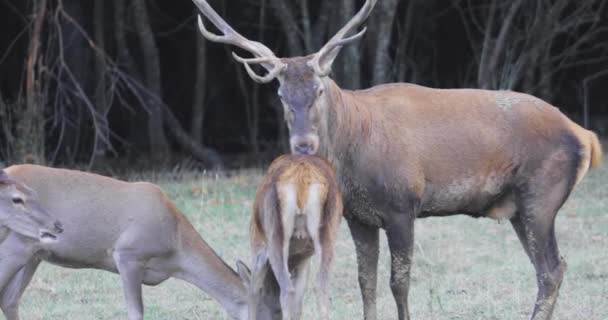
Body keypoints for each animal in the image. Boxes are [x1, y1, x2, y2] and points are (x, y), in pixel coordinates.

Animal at [0, 165, 276, 320]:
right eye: (272, 313)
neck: (176, 247)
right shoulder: (128, 254)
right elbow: (136, 312)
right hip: (16, 243)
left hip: (34, 253)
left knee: (10, 300)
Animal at [236, 155, 342, 320]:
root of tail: (302, 178)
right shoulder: (304, 258)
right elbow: (298, 306)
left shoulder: (257, 246)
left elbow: (253, 290)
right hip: (329, 230)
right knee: (321, 286)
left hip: (274, 233)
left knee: (286, 290)